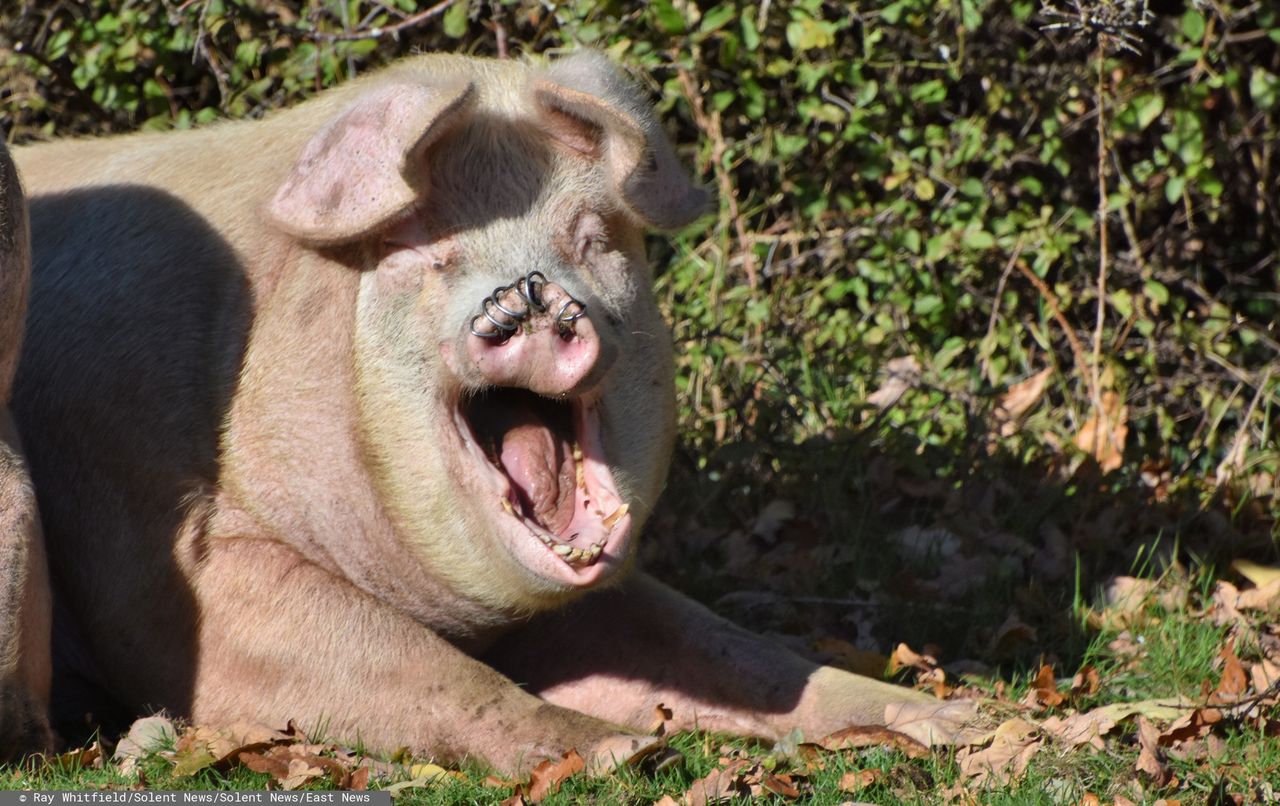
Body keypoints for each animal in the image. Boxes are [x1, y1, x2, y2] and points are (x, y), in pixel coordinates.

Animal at [7, 52, 962, 777]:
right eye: (427, 252)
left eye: (591, 238)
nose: (532, 296)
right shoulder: (157, 543)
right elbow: (401, 660)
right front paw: (617, 752)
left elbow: (730, 652)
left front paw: (952, 723)